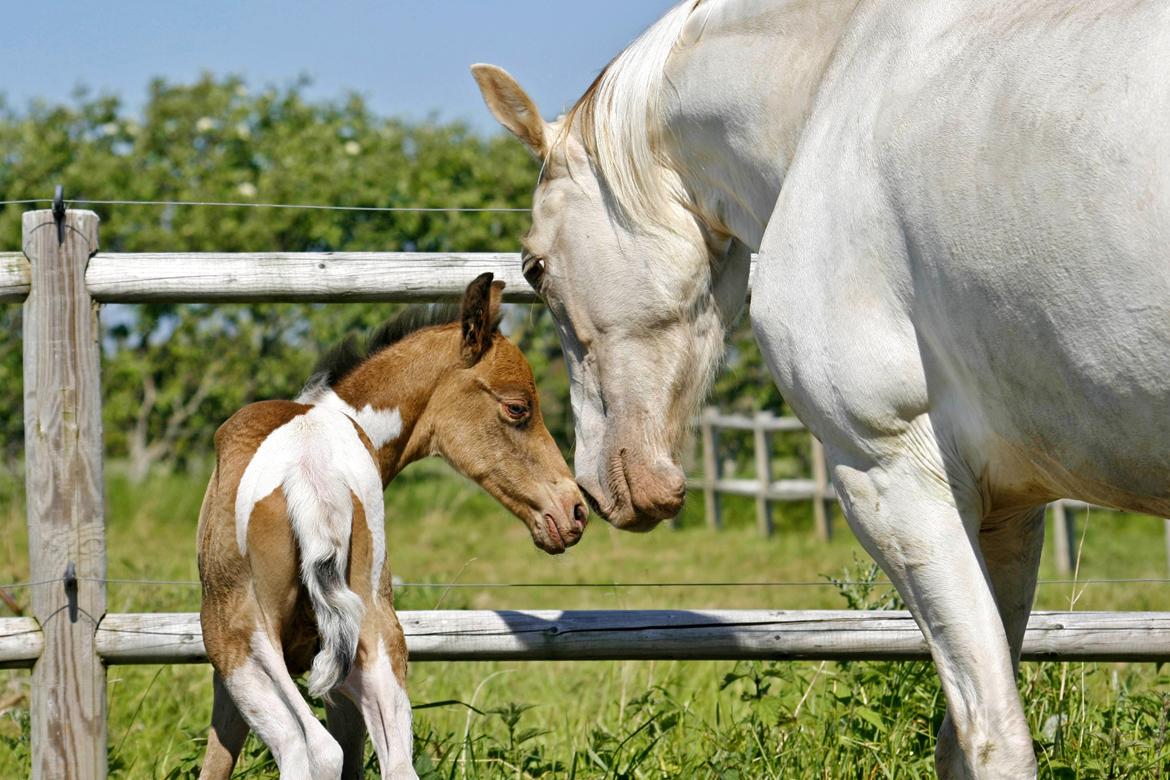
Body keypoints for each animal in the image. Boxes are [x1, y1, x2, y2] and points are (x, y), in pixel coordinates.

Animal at [196, 275, 589, 780]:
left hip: (241, 642)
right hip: (376, 636)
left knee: (310, 749)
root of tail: (311, 466)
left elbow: (218, 761)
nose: (574, 510)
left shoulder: (231, 671)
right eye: (519, 407)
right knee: (396, 763)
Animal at [472, 3, 1170, 776]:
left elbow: (993, 734)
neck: (832, 86)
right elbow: (962, 735)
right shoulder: (1007, 506)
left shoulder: (892, 474)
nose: (596, 487)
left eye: (534, 267)